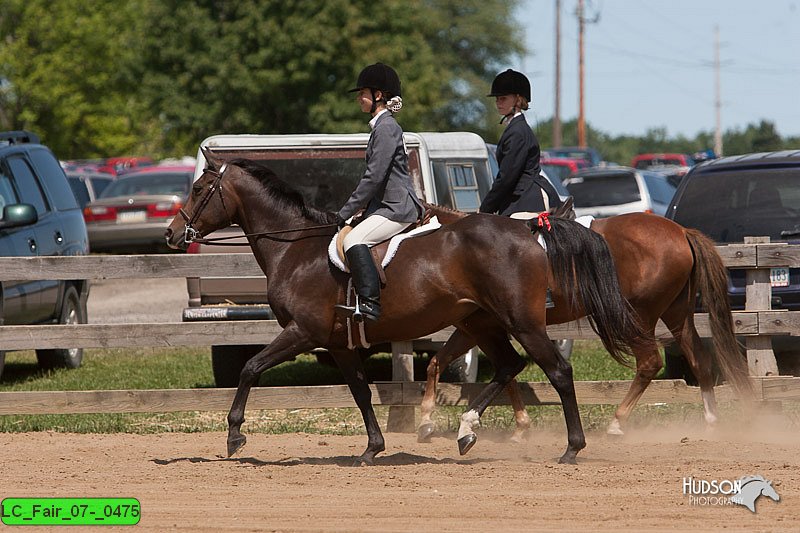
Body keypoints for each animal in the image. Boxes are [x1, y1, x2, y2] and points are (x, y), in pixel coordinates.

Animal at [166, 152, 652, 464]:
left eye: (200, 187)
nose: (172, 234)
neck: (296, 250)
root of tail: (531, 229)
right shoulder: (338, 344)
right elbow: (360, 392)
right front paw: (371, 449)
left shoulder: (302, 332)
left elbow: (250, 368)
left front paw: (234, 434)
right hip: (483, 323)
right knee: (510, 366)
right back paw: (466, 431)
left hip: (522, 322)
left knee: (558, 372)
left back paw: (571, 448)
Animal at [416, 204, 752, 440]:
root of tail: (681, 231)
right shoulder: (480, 328)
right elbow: (440, 362)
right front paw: (429, 420)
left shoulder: (490, 327)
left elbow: (502, 370)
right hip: (676, 313)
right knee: (699, 361)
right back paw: (710, 423)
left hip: (640, 315)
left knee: (649, 363)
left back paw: (617, 423)